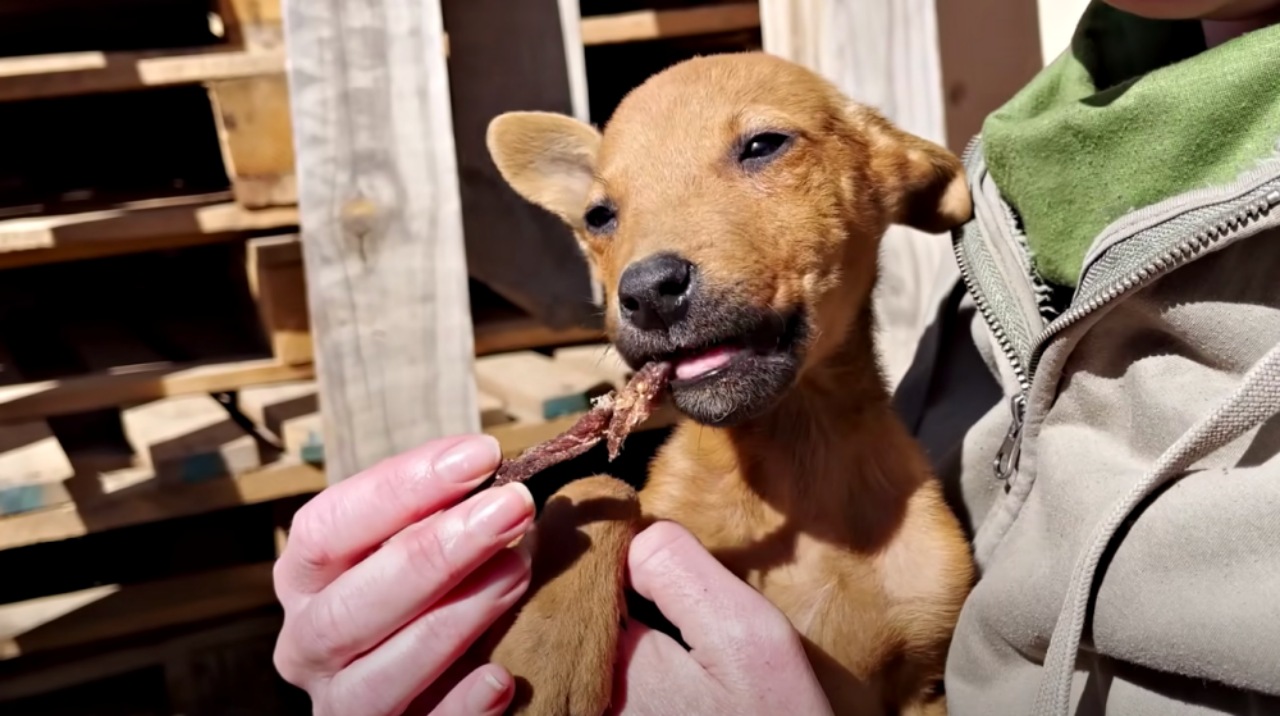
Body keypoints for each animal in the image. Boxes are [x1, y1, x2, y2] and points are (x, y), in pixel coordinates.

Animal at [473, 51, 977, 716]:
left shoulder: (926, 683)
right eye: (598, 216)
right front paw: (548, 660)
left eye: (763, 145)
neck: (798, 460)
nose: (648, 292)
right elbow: (599, 482)